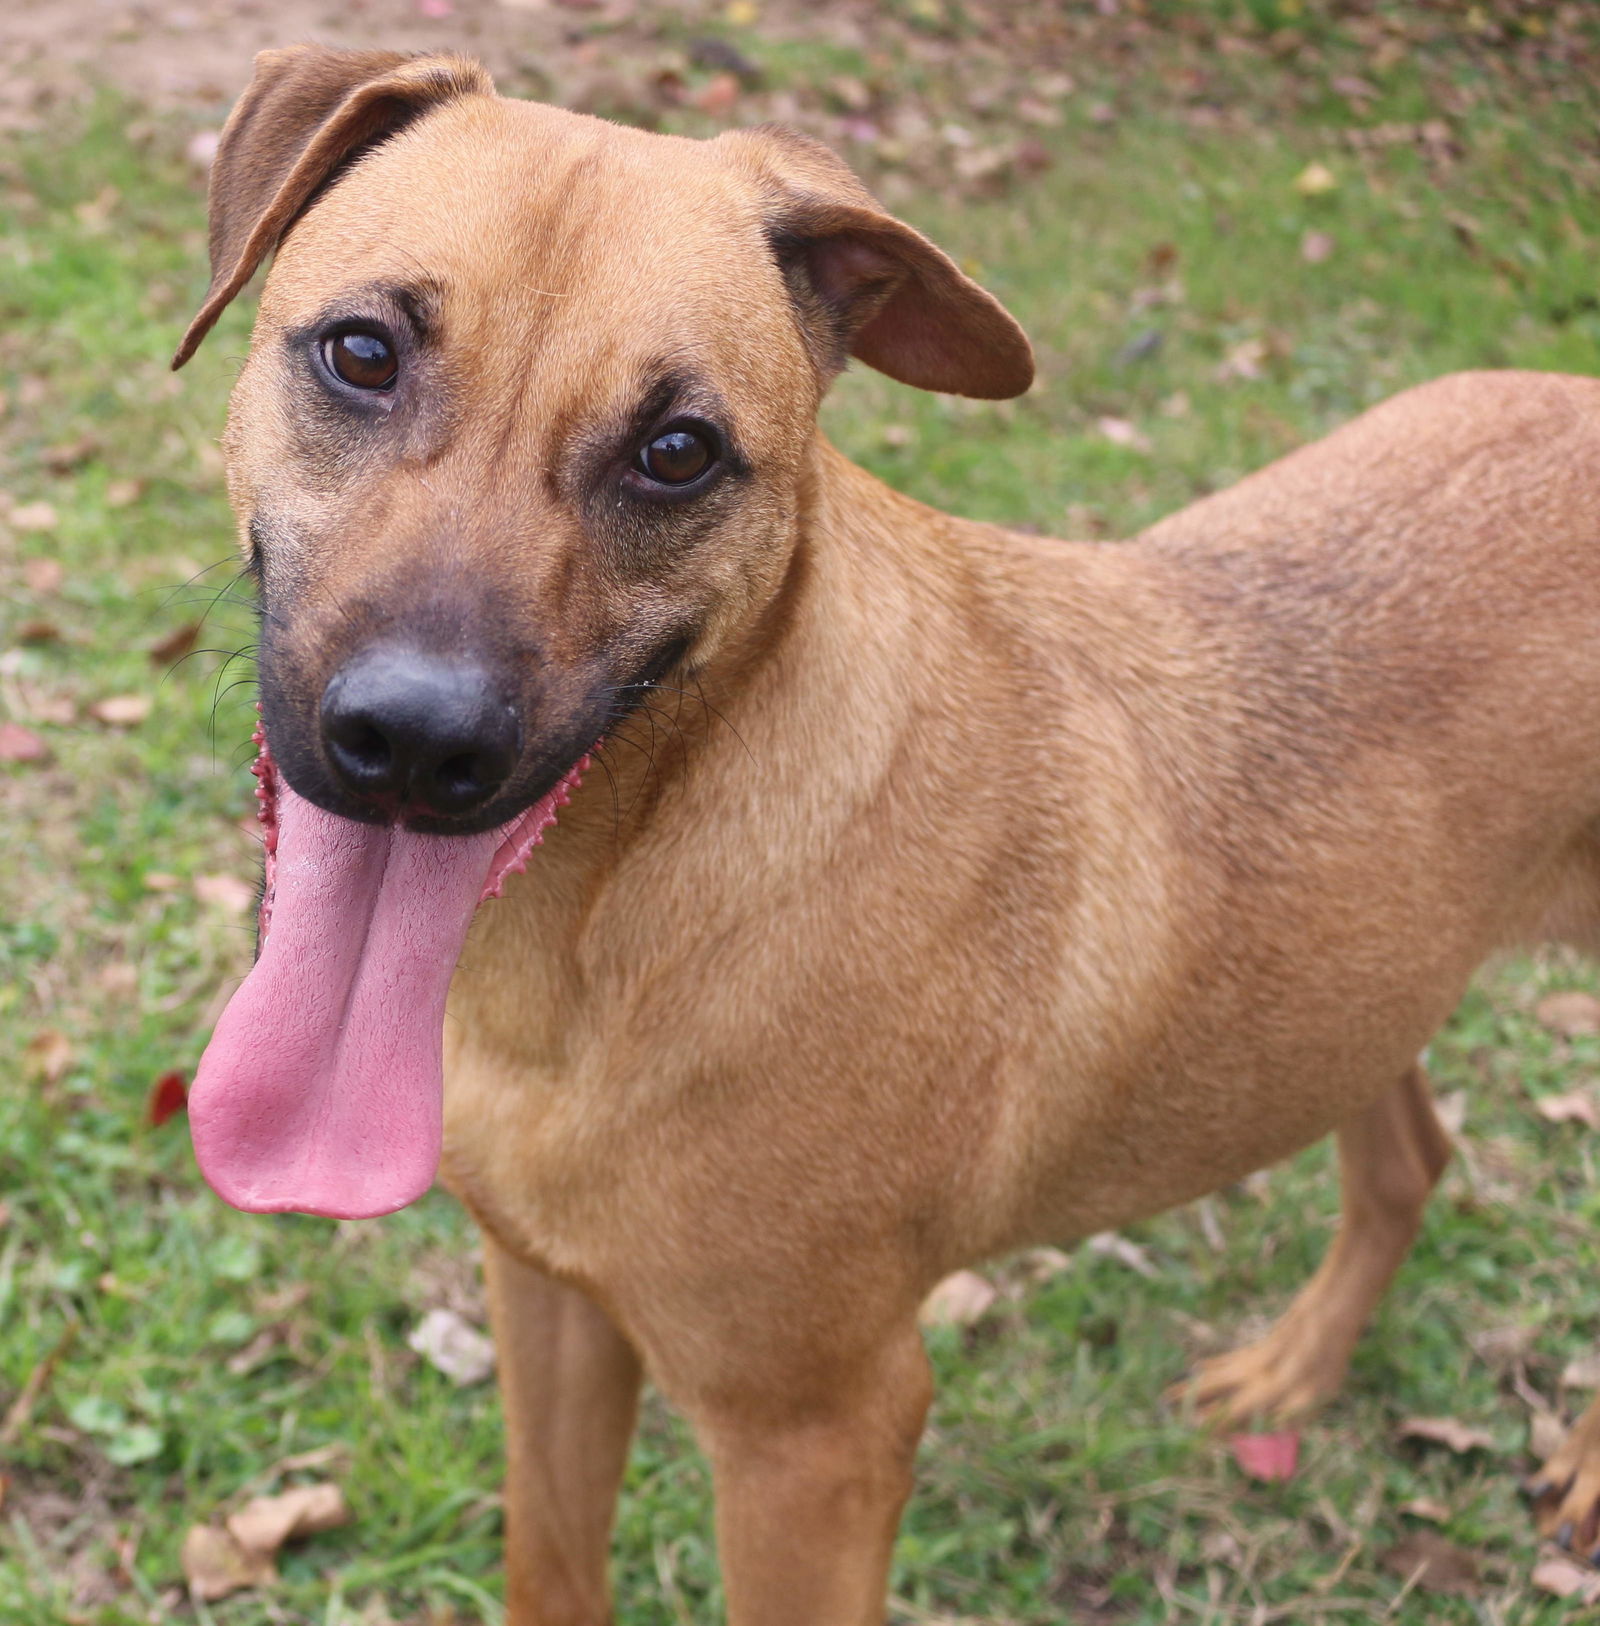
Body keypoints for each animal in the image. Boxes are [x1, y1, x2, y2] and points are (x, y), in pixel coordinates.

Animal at [178, 41, 1600, 1626]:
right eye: (361, 354)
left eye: (680, 451)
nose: (418, 744)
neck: (608, 921)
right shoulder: (548, 1302)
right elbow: (551, 1560)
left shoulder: (818, 1436)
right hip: (1358, 985)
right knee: (1409, 1151)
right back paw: (1296, 1364)